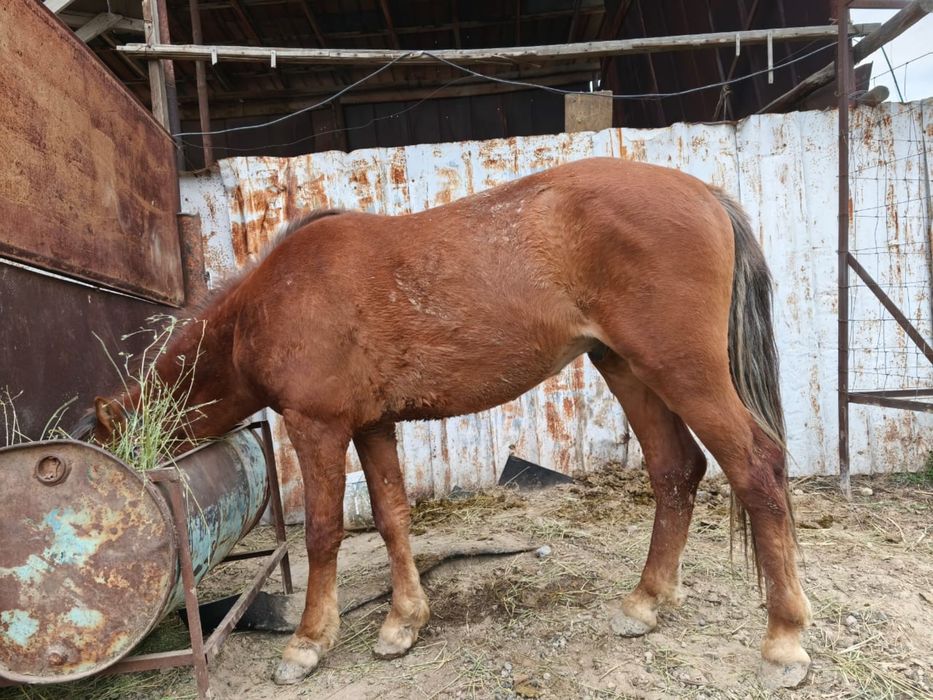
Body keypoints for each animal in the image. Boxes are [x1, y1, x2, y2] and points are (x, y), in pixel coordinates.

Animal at [79, 157, 811, 688]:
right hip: (628, 368)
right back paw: (645, 602)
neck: (269, 303)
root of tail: (705, 194)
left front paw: (308, 643)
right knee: (675, 471)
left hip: (682, 371)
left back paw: (783, 642)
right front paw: (403, 624)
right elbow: (391, 517)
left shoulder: (318, 426)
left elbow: (322, 532)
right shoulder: (372, 425)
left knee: (756, 469)